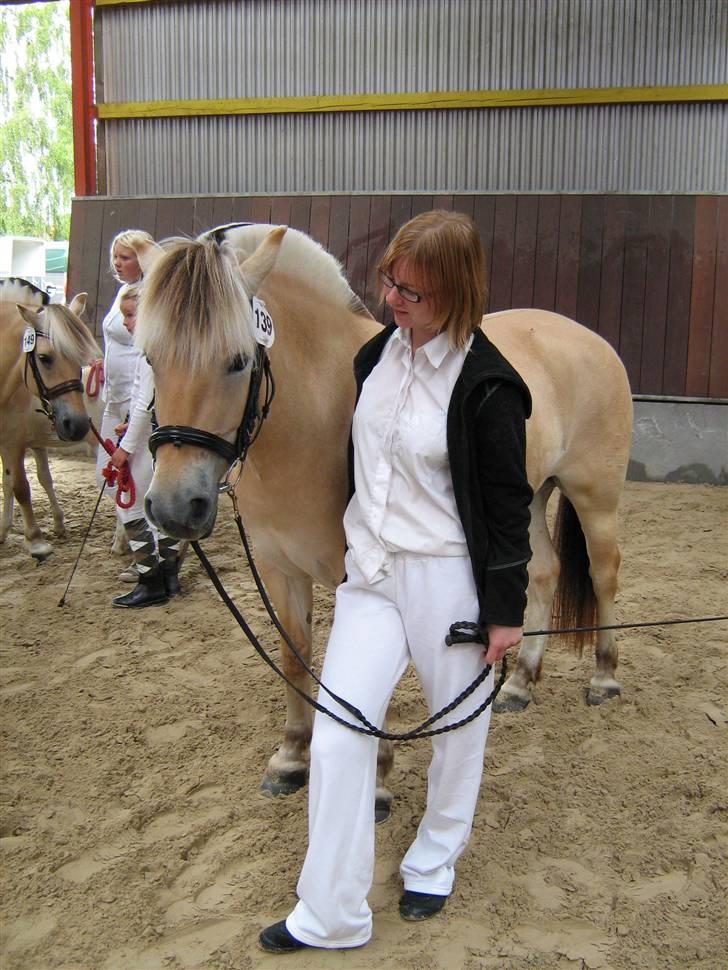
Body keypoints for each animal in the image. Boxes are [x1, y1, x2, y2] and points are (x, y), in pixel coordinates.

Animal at [0, 278, 99, 560]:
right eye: (44, 358)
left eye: (78, 358)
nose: (78, 424)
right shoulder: (20, 442)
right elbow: (23, 480)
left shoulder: (14, 443)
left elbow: (21, 485)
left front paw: (35, 540)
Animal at [141, 223, 632, 804]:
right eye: (148, 358)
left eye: (238, 360)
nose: (175, 507)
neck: (312, 416)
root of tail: (589, 337)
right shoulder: (281, 570)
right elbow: (295, 654)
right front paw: (291, 756)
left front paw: (375, 775)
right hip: (527, 496)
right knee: (543, 572)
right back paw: (519, 684)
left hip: (594, 496)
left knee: (603, 574)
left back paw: (603, 678)